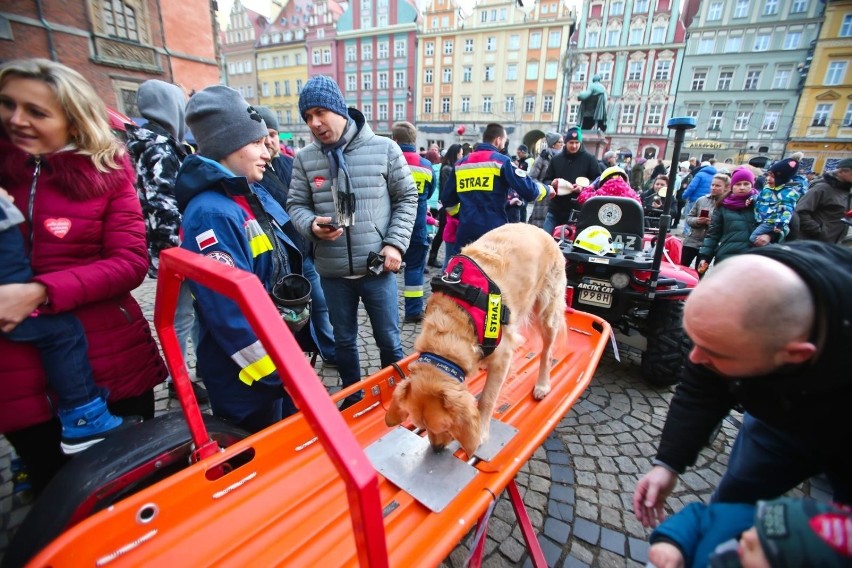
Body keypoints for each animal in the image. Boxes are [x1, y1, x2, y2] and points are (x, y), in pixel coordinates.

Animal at [386, 223, 564, 458]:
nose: (436, 449)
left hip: (547, 310)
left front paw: (480, 433)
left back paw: (543, 384)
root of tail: (541, 230)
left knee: (547, 350)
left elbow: (487, 398)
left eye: (445, 427)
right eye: (422, 427)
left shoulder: (503, 356)